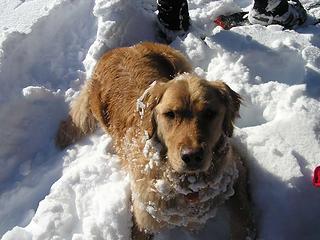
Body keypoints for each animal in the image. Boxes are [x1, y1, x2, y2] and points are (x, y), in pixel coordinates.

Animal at [55, 42, 255, 239]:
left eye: (210, 113)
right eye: (170, 114)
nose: (191, 156)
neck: (190, 186)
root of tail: (122, 48)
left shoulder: (237, 168)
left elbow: (243, 213)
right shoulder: (143, 218)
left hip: (179, 61)